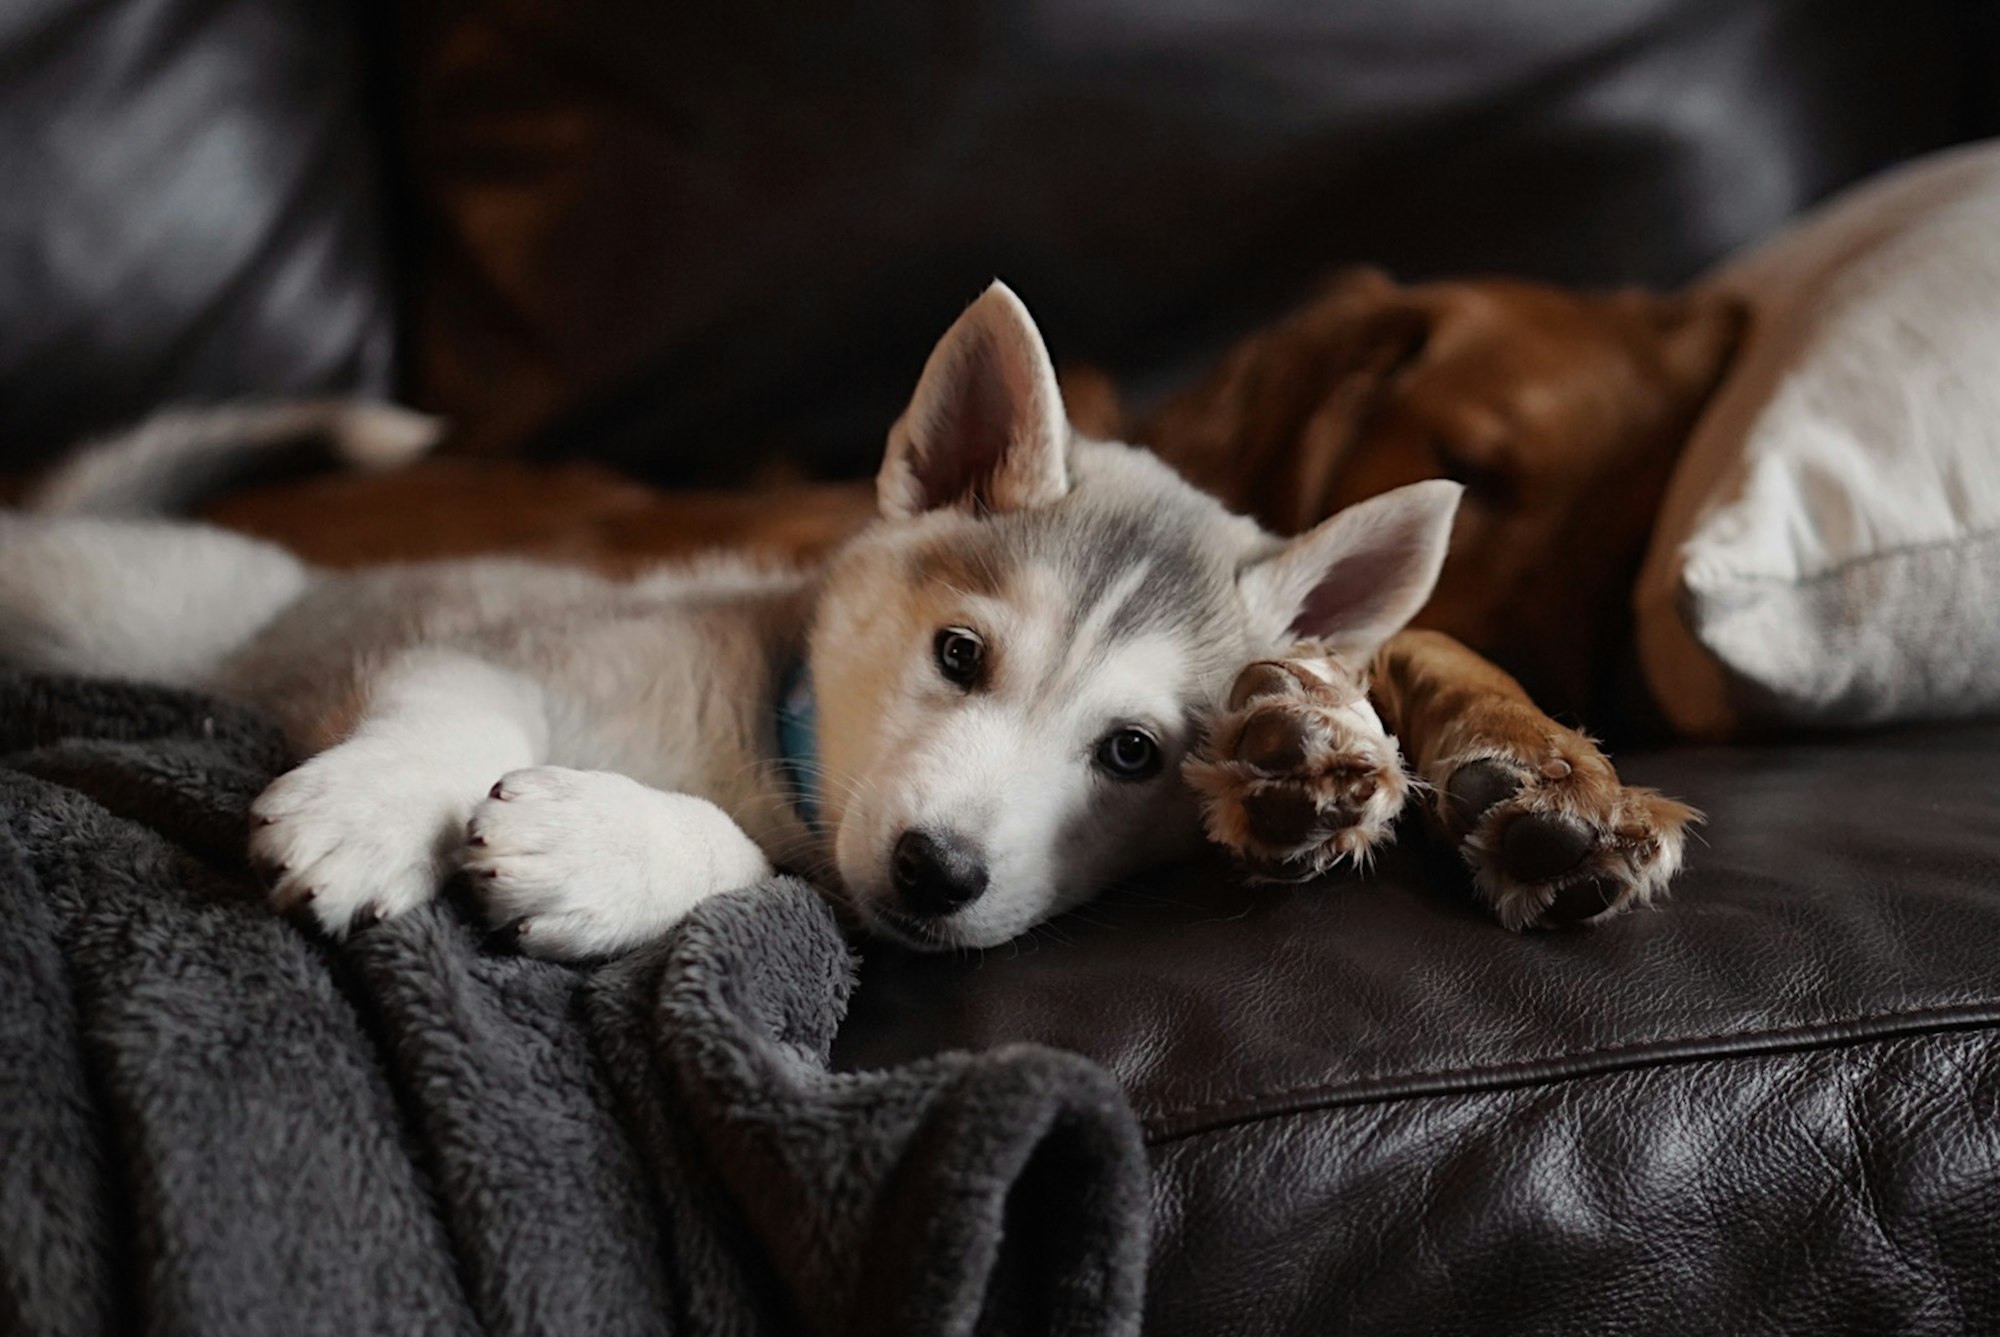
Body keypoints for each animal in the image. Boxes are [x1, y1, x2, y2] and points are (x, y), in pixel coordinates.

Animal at [0, 288, 1456, 956]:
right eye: (960, 654)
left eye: (1134, 753)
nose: (938, 871)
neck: (769, 740)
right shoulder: (507, 640)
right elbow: (451, 708)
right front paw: (371, 812)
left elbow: (757, 870)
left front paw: (601, 848)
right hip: (120, 601)